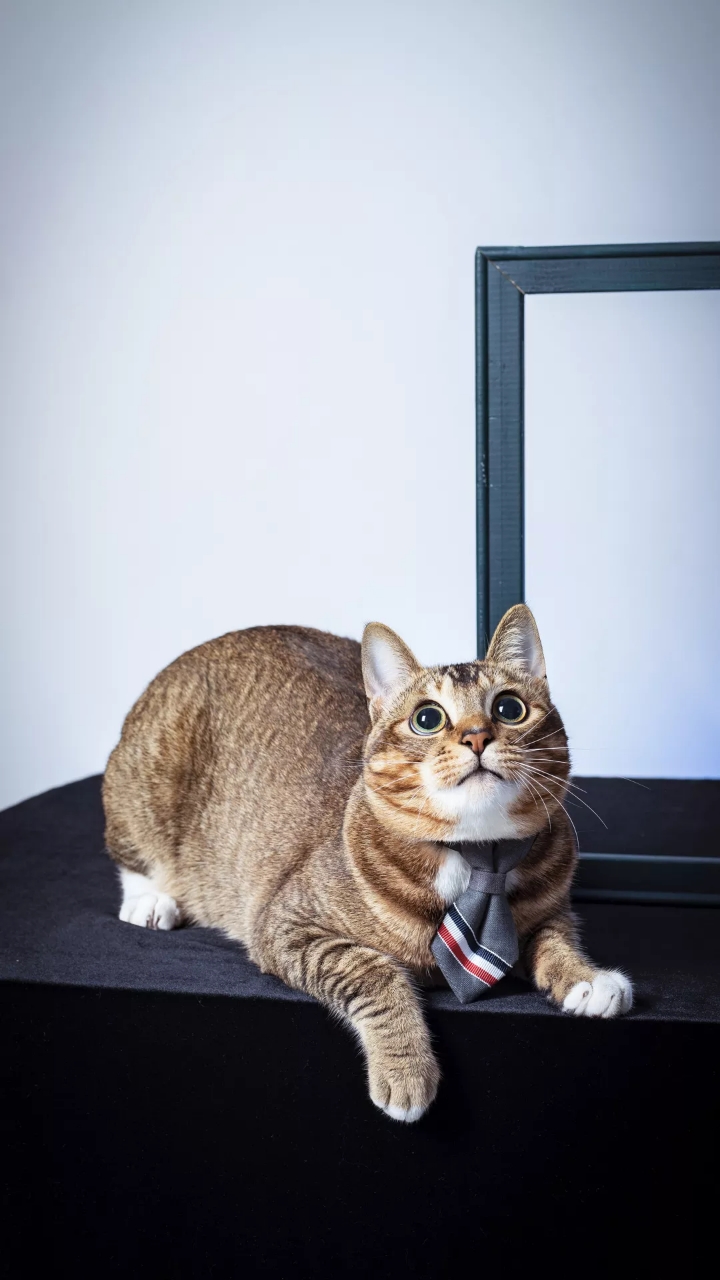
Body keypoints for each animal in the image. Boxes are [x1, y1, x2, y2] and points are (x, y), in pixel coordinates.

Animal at [103, 604, 632, 1121]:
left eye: (509, 708)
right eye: (427, 718)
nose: (478, 737)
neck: (478, 853)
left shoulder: (550, 907)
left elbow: (555, 938)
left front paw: (586, 978)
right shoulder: (285, 924)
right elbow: (371, 969)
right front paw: (406, 1068)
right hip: (145, 781)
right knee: (131, 852)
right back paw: (151, 900)